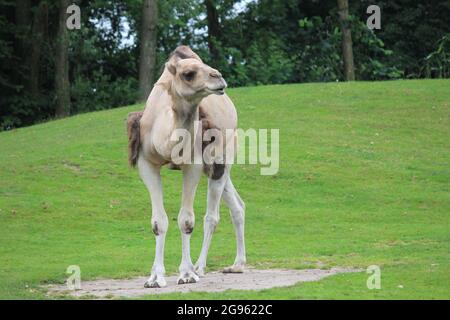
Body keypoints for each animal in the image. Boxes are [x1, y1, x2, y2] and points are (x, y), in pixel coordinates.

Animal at [126, 45, 246, 288]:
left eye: (205, 66)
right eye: (188, 74)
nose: (218, 77)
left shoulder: (193, 164)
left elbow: (186, 220)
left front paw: (187, 274)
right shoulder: (146, 164)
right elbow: (158, 222)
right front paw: (155, 278)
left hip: (224, 156)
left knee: (212, 216)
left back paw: (200, 266)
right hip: (218, 168)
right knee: (237, 206)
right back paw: (237, 265)